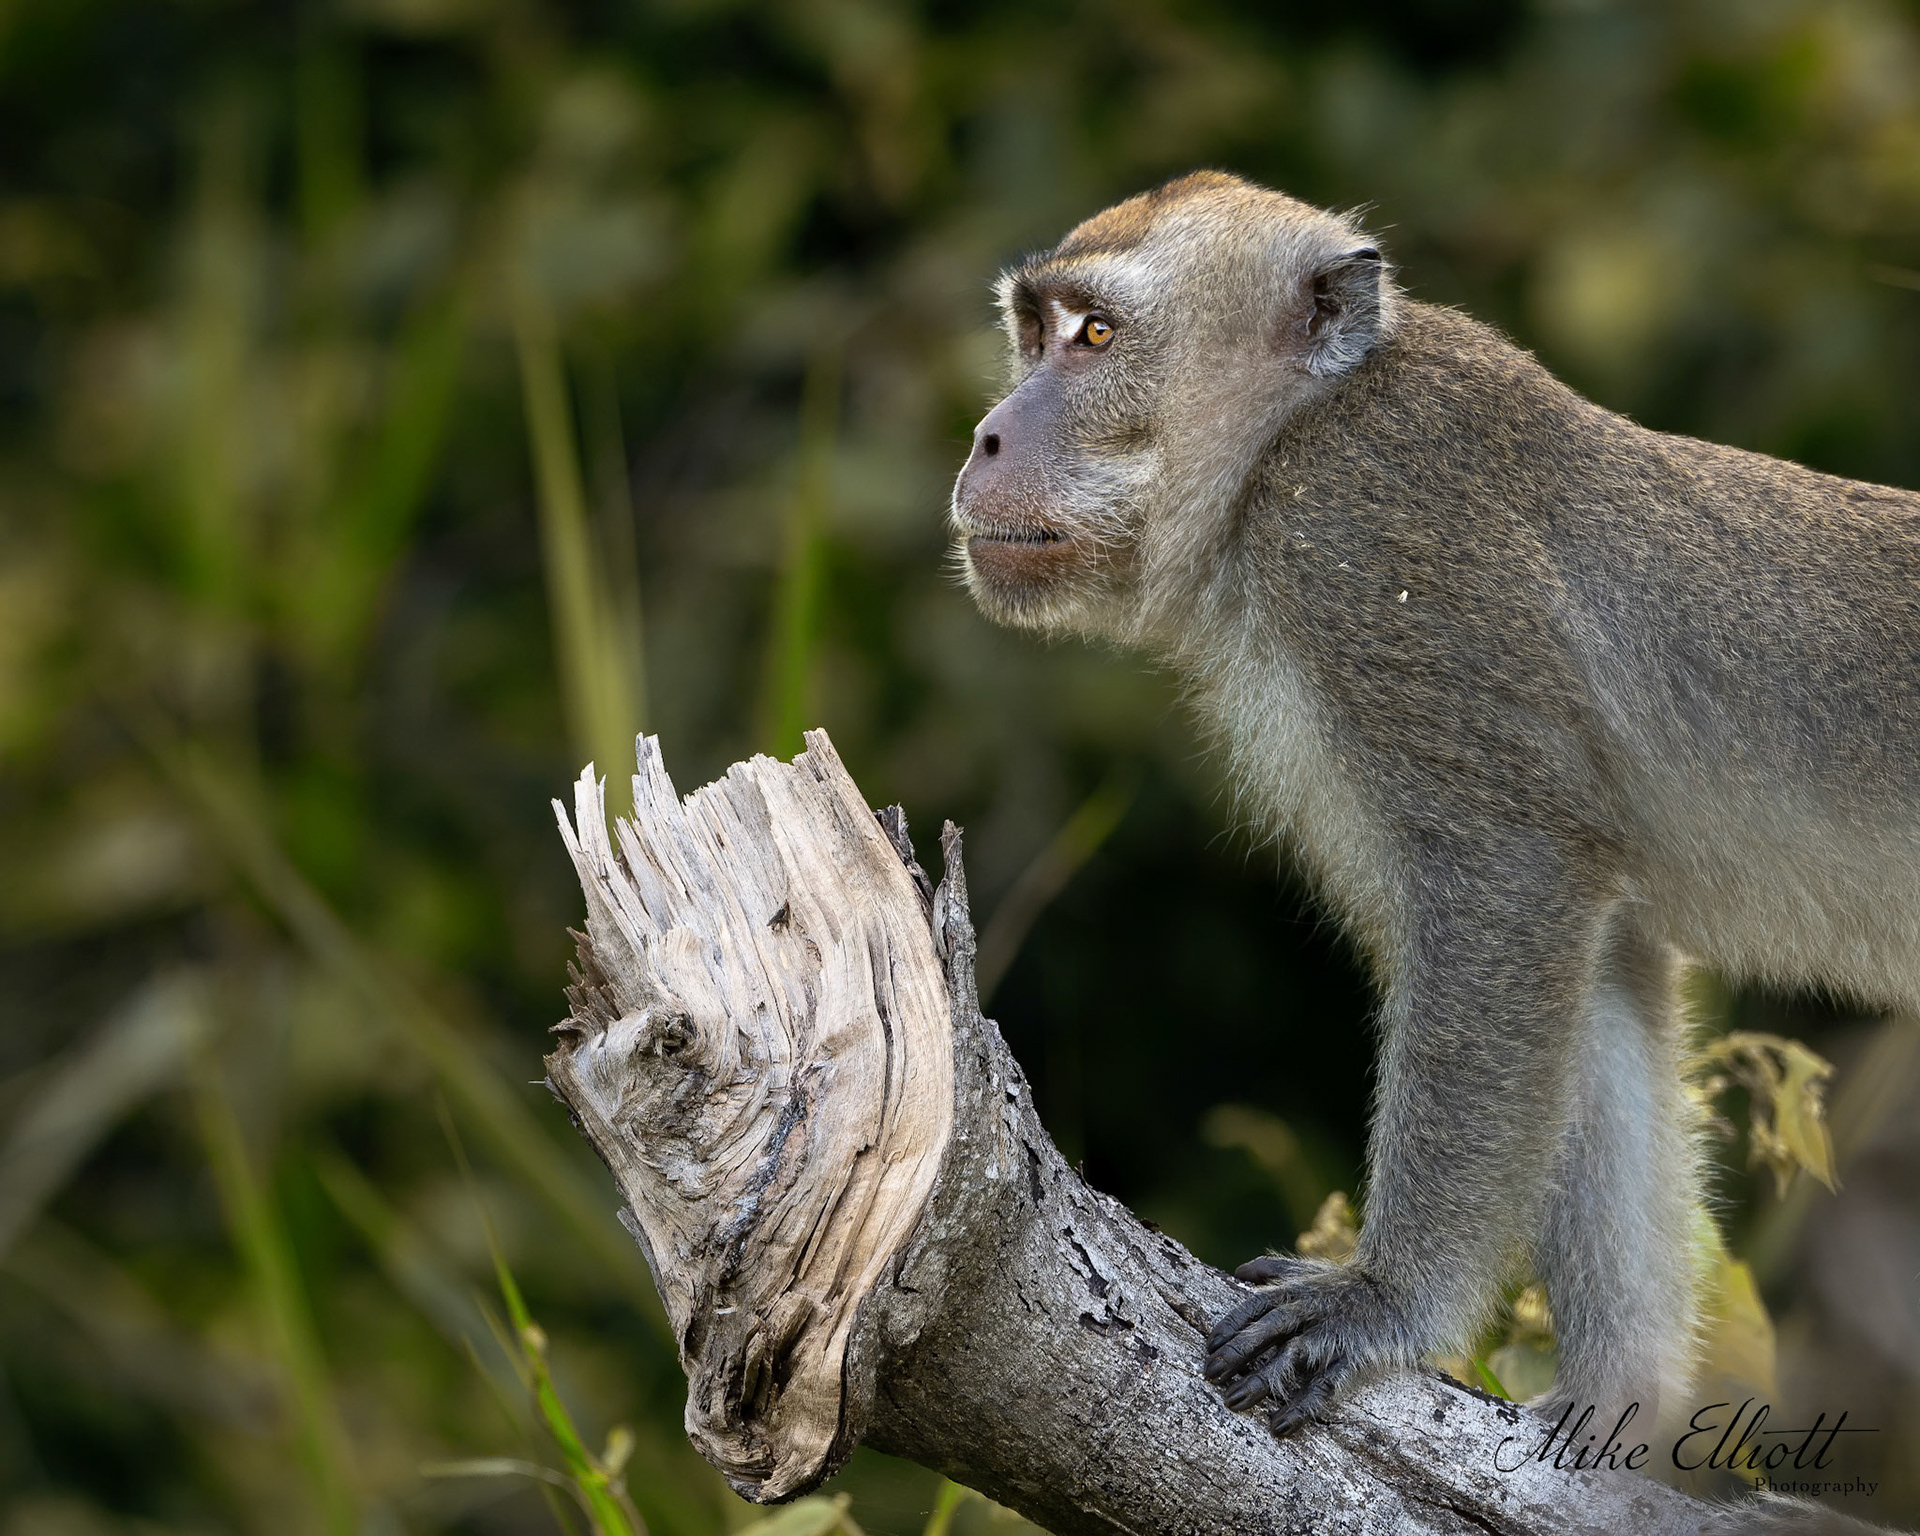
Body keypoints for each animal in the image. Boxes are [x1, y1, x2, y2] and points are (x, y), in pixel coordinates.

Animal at [947, 170, 1920, 1485]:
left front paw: (1387, 1305)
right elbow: (1600, 968)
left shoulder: (1366, 551)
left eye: (1096, 336)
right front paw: (1618, 1415)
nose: (990, 433)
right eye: (1033, 329)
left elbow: (1508, 881)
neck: (1292, 438)